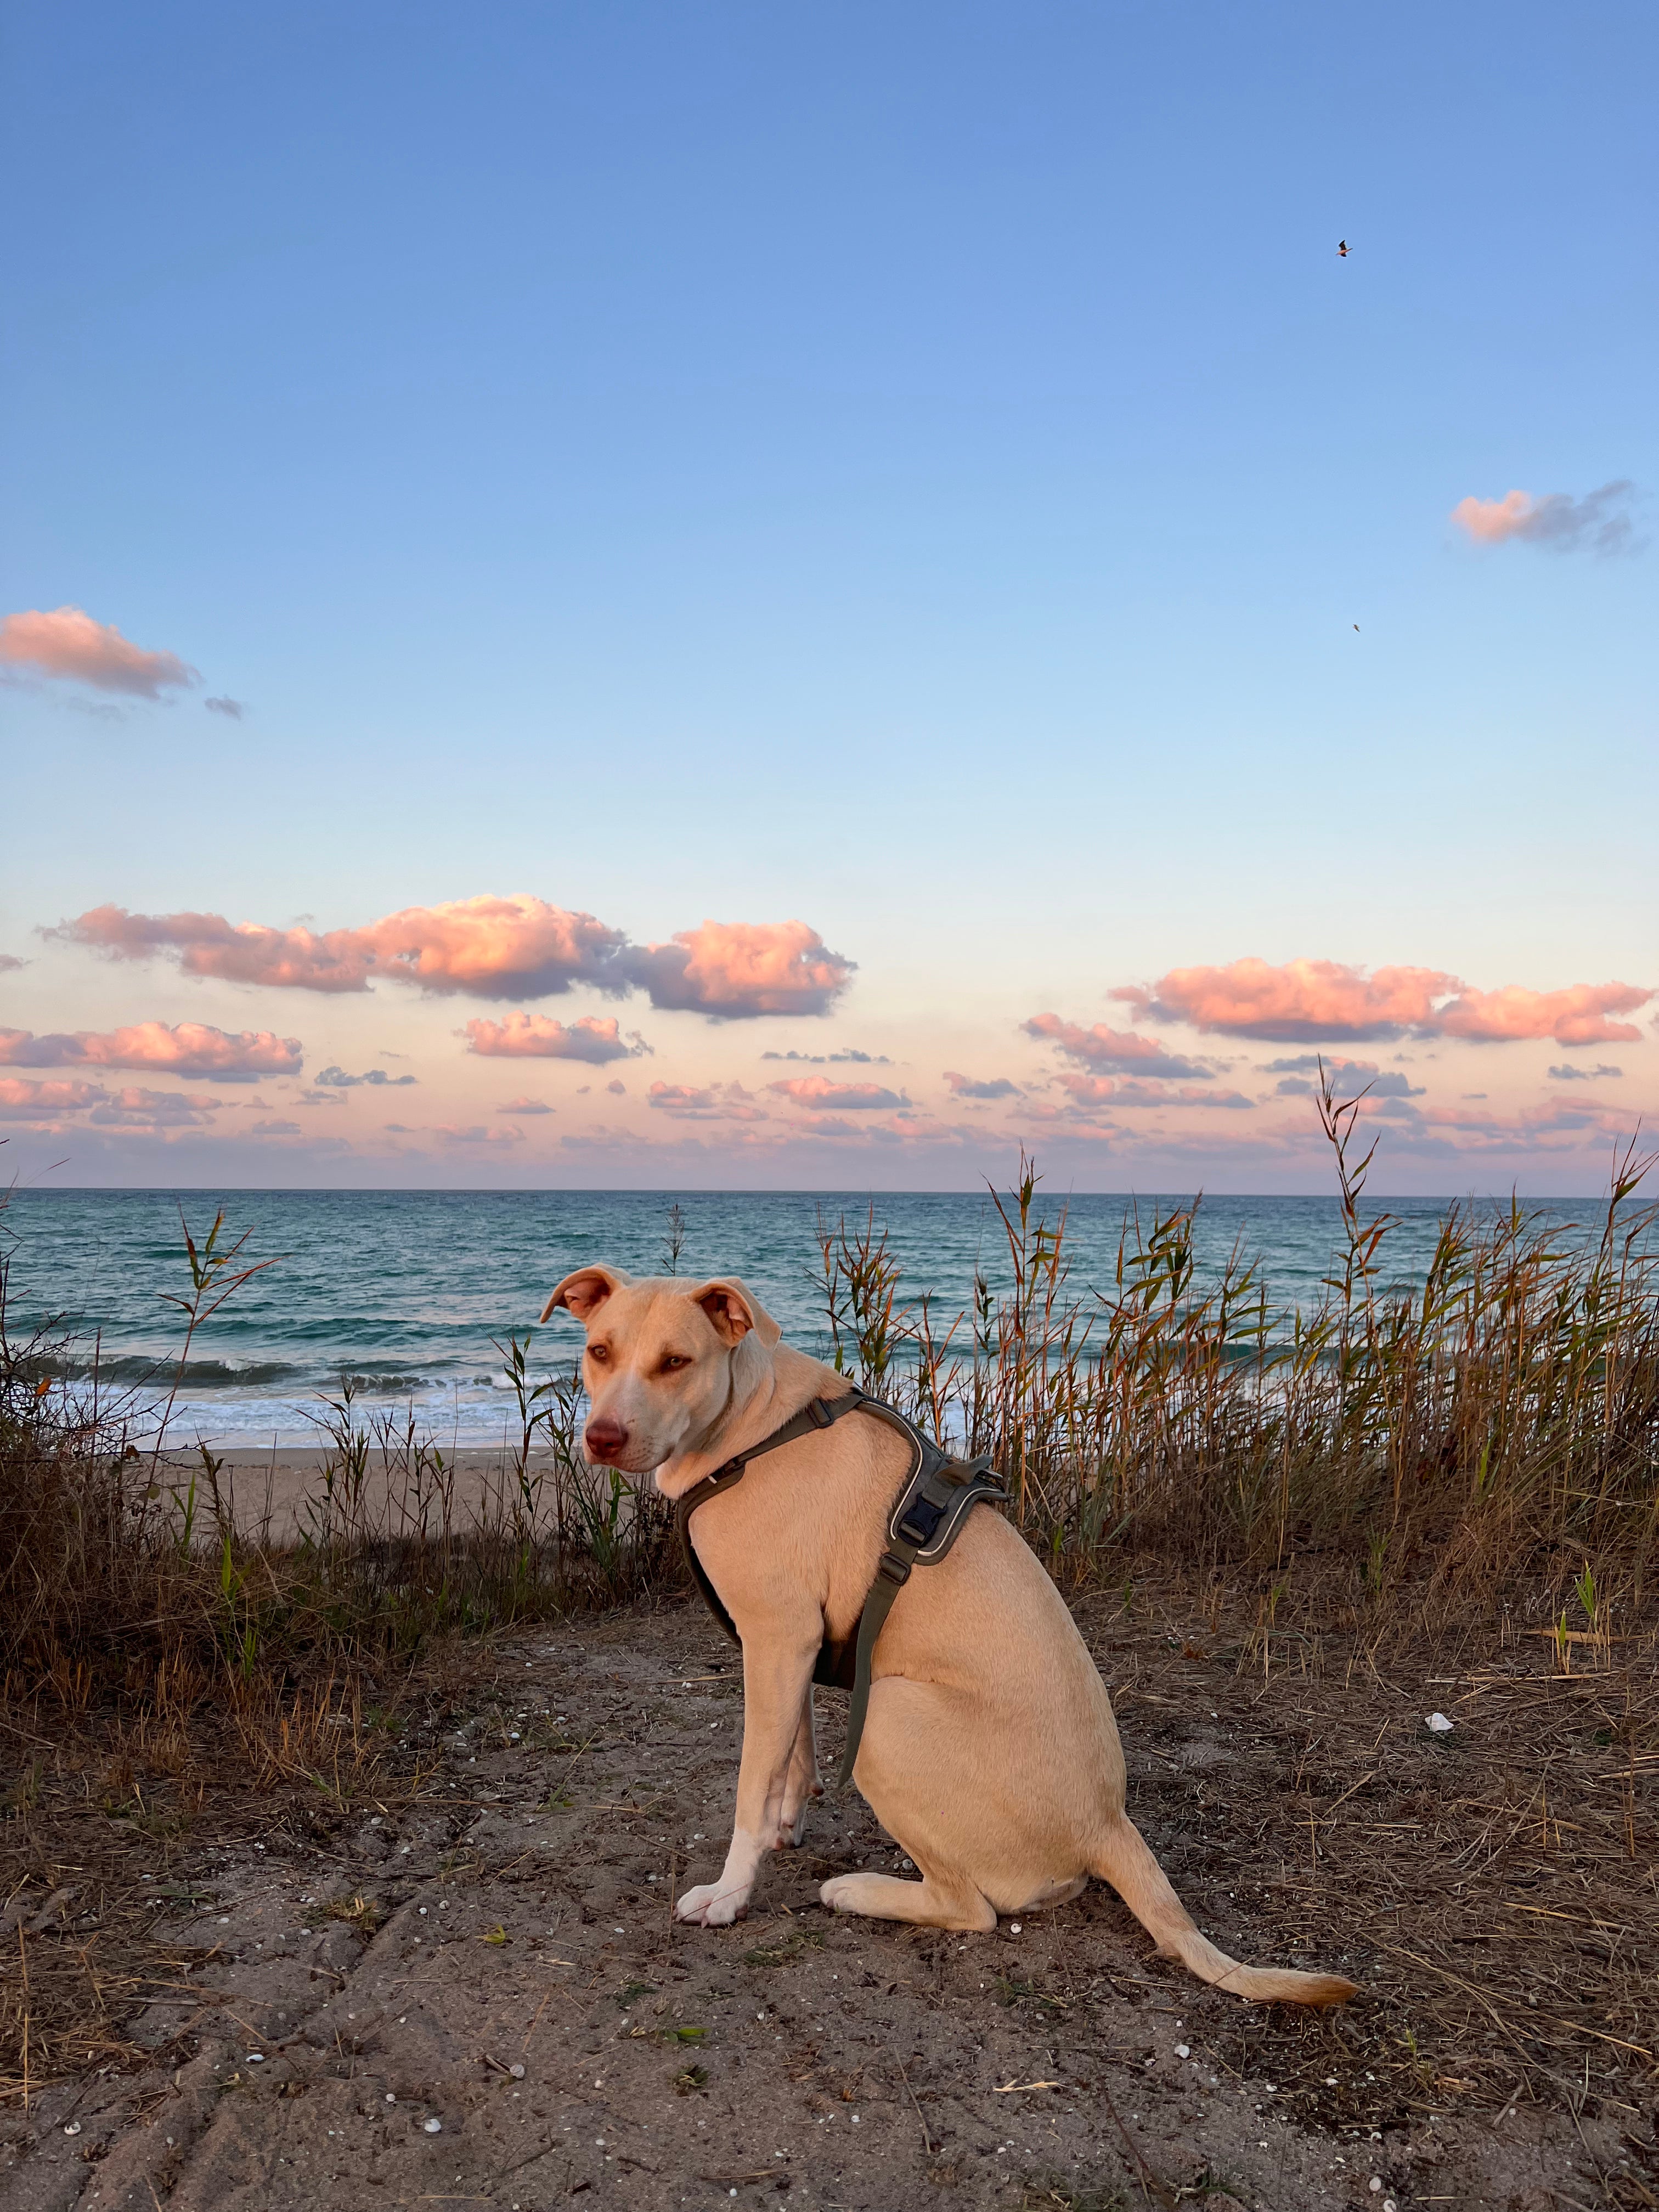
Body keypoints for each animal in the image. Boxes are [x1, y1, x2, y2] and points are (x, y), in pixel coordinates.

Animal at [546, 1265, 1362, 2008]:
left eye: (676, 1362)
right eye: (598, 1352)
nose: (603, 1438)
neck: (751, 1428)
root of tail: (1110, 1825)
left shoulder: (776, 1642)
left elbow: (750, 1786)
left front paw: (728, 1893)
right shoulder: (789, 1648)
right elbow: (793, 1754)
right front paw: (790, 1822)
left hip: (886, 1718)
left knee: (972, 1909)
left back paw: (859, 1890)